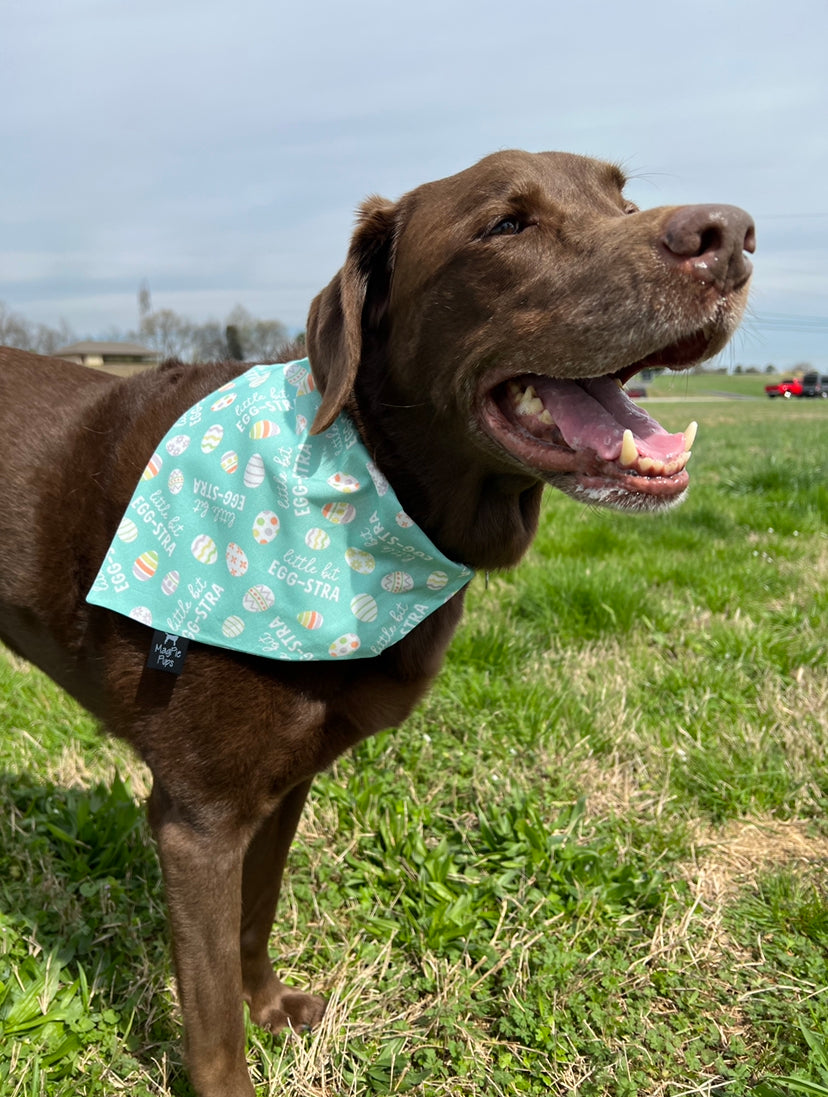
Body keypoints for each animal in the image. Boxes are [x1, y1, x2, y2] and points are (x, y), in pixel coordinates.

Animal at [0, 152, 750, 1097]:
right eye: (506, 226)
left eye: (623, 198)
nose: (731, 234)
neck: (363, 479)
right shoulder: (198, 819)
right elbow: (210, 1024)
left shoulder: (283, 787)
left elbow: (256, 914)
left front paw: (270, 1008)